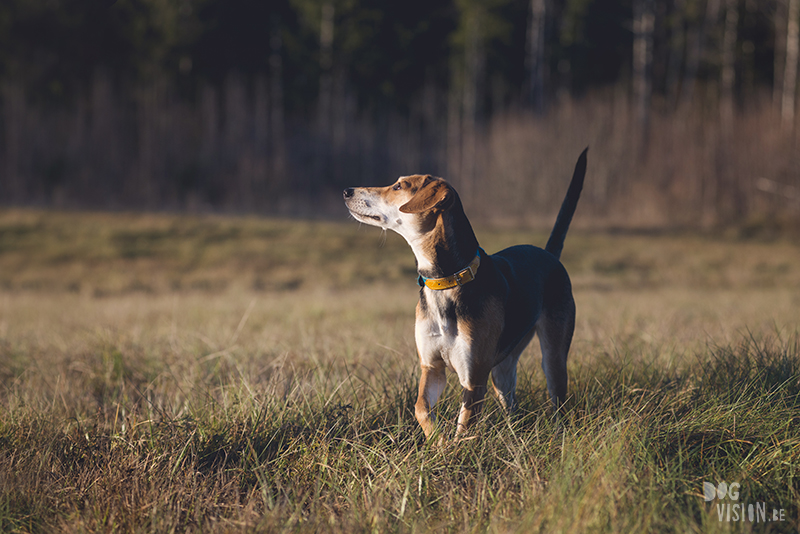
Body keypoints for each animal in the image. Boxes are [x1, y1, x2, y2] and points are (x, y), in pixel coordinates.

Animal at [344, 150, 588, 440]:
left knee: (558, 399)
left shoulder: (473, 378)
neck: (446, 281)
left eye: (399, 186)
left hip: (553, 355)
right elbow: (420, 408)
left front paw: (452, 447)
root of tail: (549, 254)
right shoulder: (432, 367)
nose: (347, 190)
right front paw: (437, 440)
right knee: (512, 404)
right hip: (502, 370)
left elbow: (463, 429)